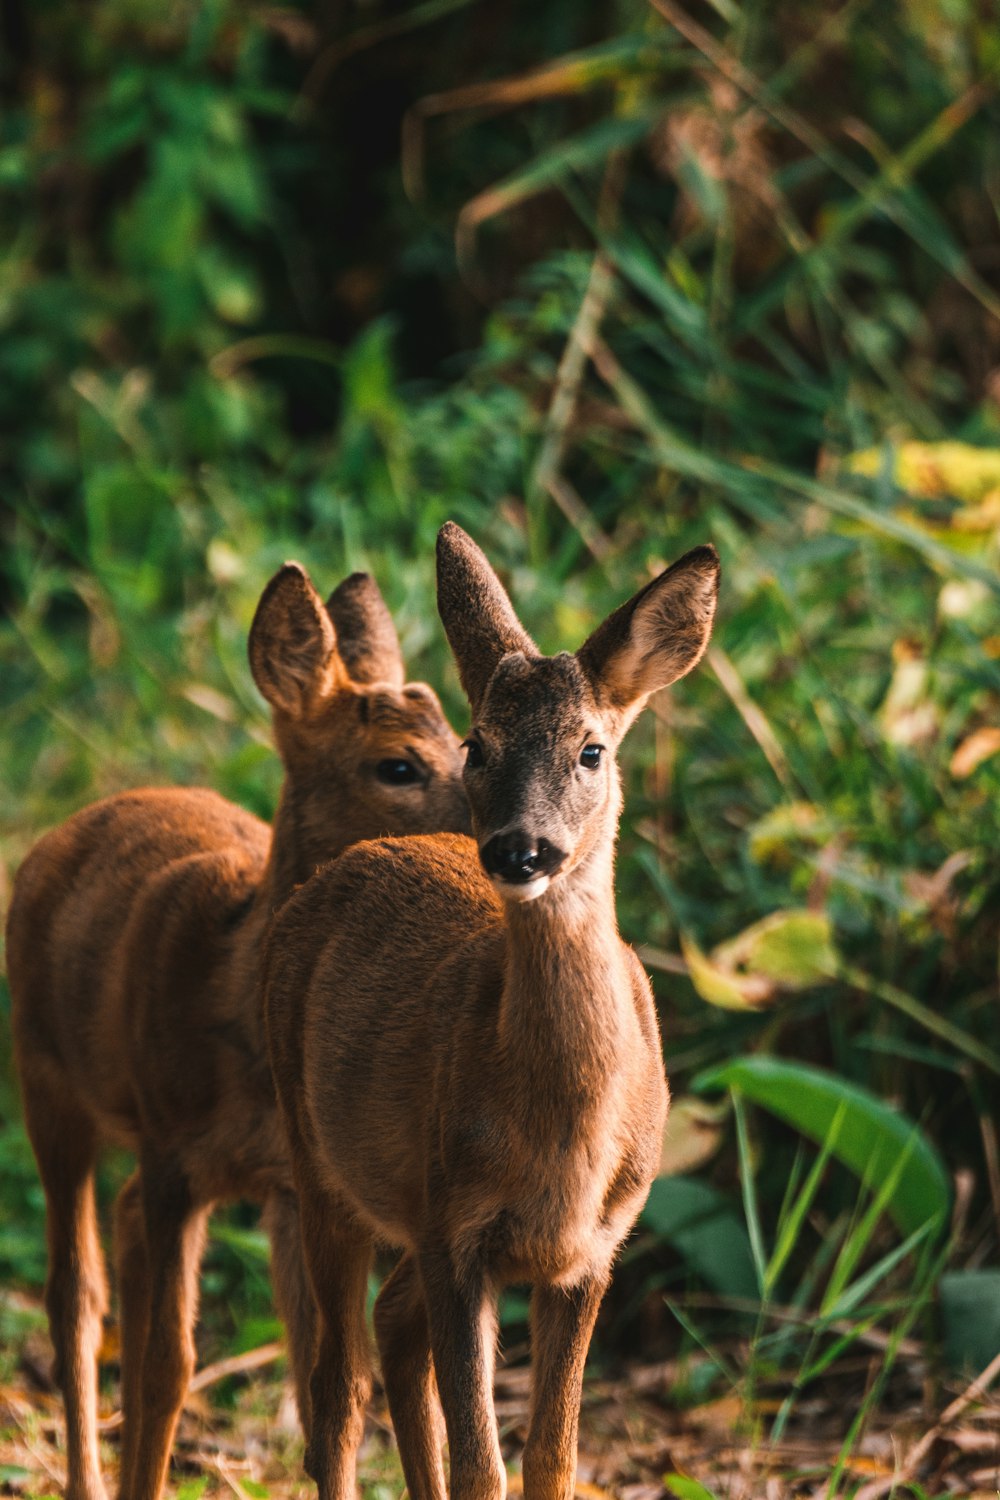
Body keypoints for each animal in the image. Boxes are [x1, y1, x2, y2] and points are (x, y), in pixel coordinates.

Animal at [4, 561, 473, 1500]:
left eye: (465, 743)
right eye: (397, 764)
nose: (512, 839)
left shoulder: (291, 1180)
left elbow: (324, 1376)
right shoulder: (170, 1146)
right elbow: (168, 1364)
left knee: (119, 1233)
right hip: (42, 1074)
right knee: (74, 1298)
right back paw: (86, 1478)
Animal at [263, 525, 719, 1500]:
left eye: (592, 750)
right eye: (476, 745)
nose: (520, 849)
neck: (562, 1143)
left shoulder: (594, 1248)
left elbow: (551, 1457)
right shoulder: (454, 1226)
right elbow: (484, 1462)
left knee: (391, 1330)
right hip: (317, 1162)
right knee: (334, 1385)